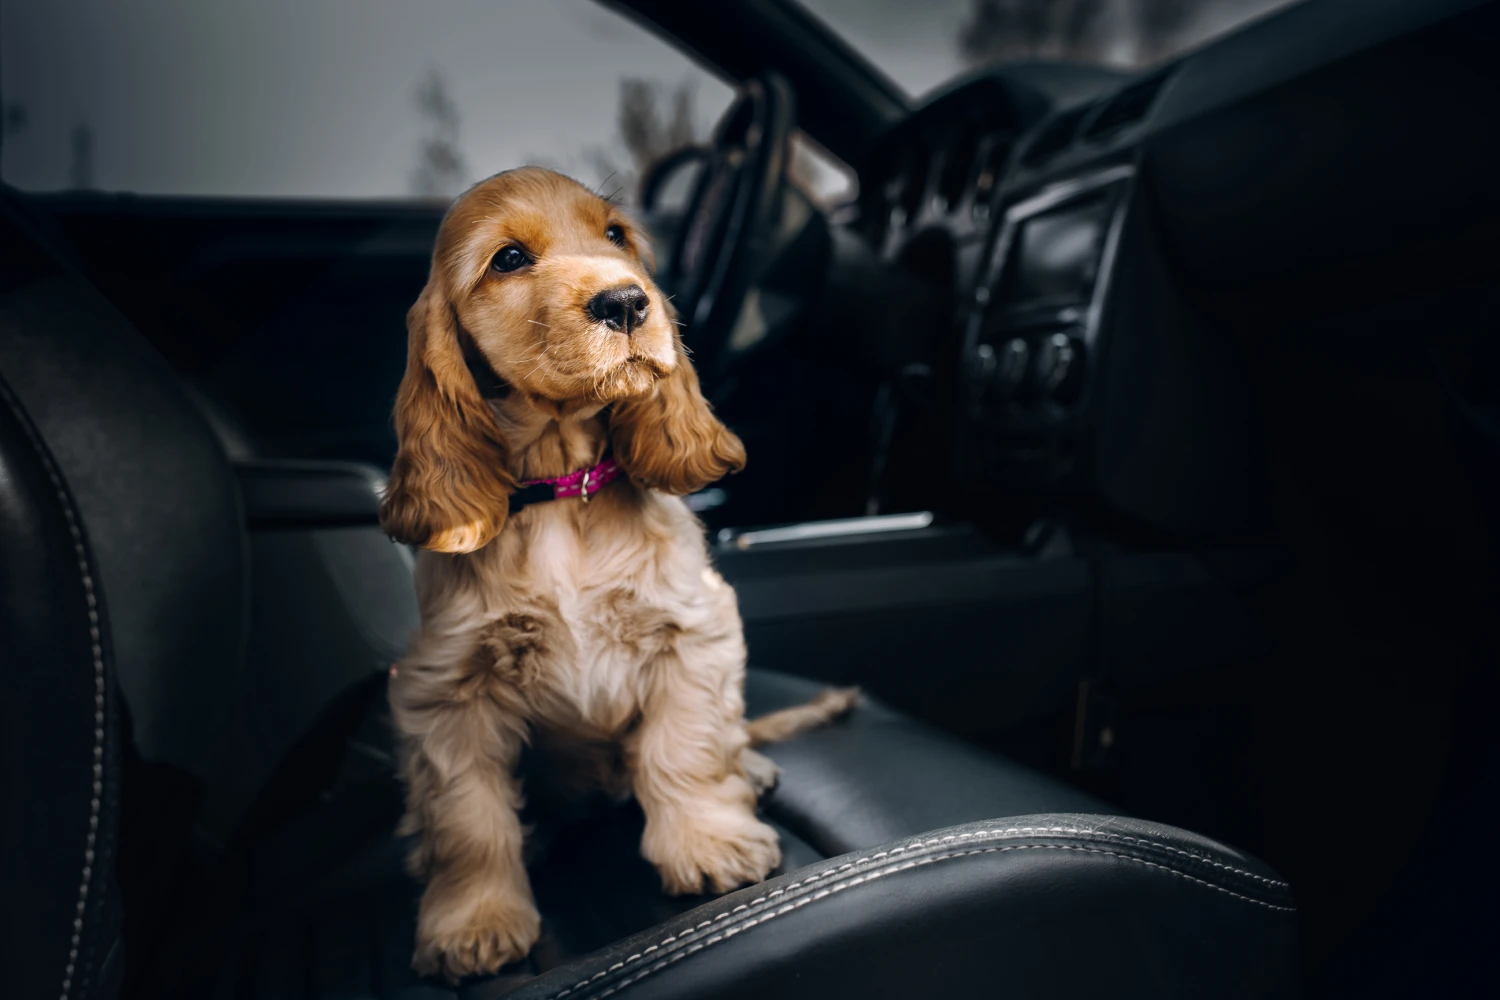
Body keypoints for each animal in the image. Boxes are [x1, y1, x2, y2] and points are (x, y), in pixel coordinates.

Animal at [381, 167, 858, 983]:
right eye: (508, 259)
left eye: (617, 237)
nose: (629, 301)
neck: (562, 487)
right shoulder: (447, 689)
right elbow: (468, 818)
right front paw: (472, 925)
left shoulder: (692, 628)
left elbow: (685, 750)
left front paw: (710, 844)